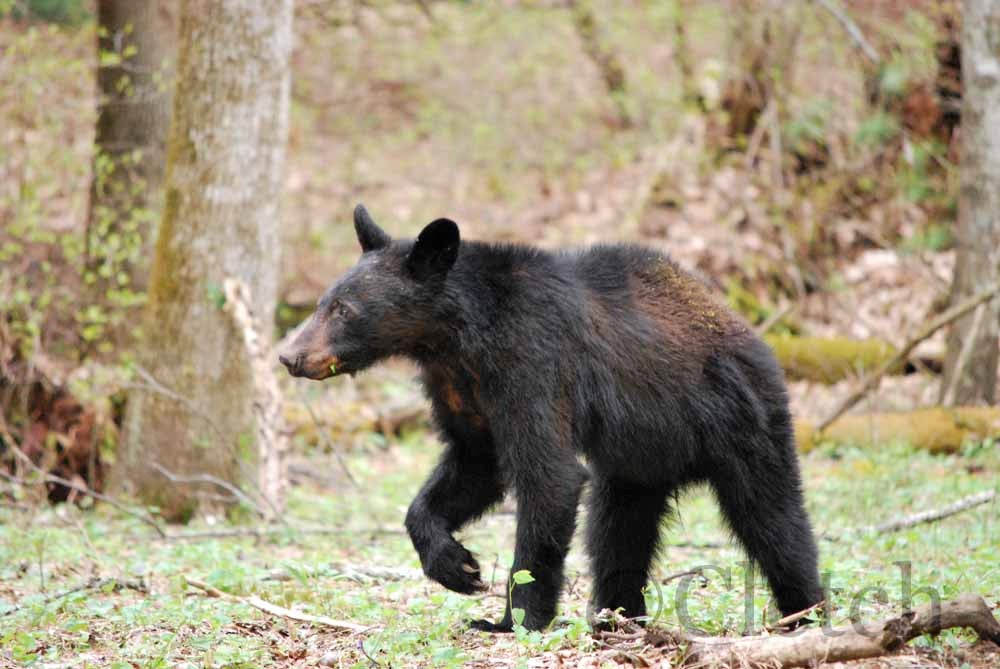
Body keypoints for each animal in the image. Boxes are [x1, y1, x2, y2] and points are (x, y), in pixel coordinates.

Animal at [279, 204, 823, 633]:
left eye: (344, 308)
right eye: (323, 302)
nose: (289, 355)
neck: (457, 339)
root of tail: (751, 334)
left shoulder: (533, 363)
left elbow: (548, 476)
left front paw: (512, 620)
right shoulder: (459, 388)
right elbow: (473, 464)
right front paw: (457, 565)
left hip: (743, 420)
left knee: (774, 520)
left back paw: (806, 612)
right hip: (637, 461)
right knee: (617, 532)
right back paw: (616, 616)